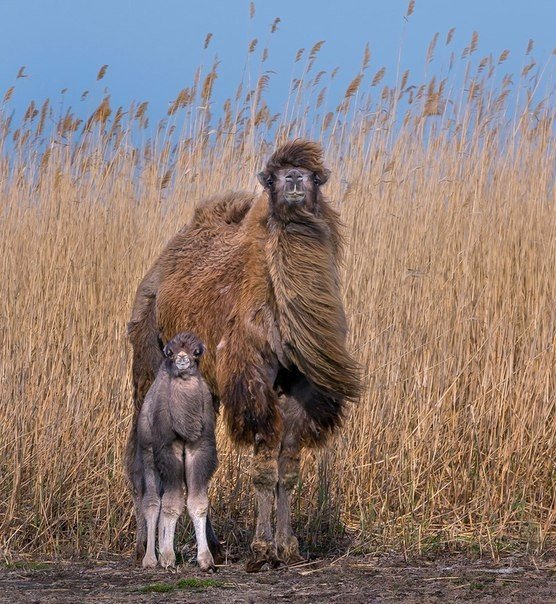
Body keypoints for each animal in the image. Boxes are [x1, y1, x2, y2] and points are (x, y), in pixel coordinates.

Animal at [127, 332, 219, 568]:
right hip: (148, 455)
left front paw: (206, 559)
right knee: (152, 502)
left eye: (197, 352)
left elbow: (197, 502)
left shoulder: (198, 449)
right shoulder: (168, 450)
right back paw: (150, 558)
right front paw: (168, 557)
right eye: (170, 352)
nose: (182, 359)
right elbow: (171, 503)